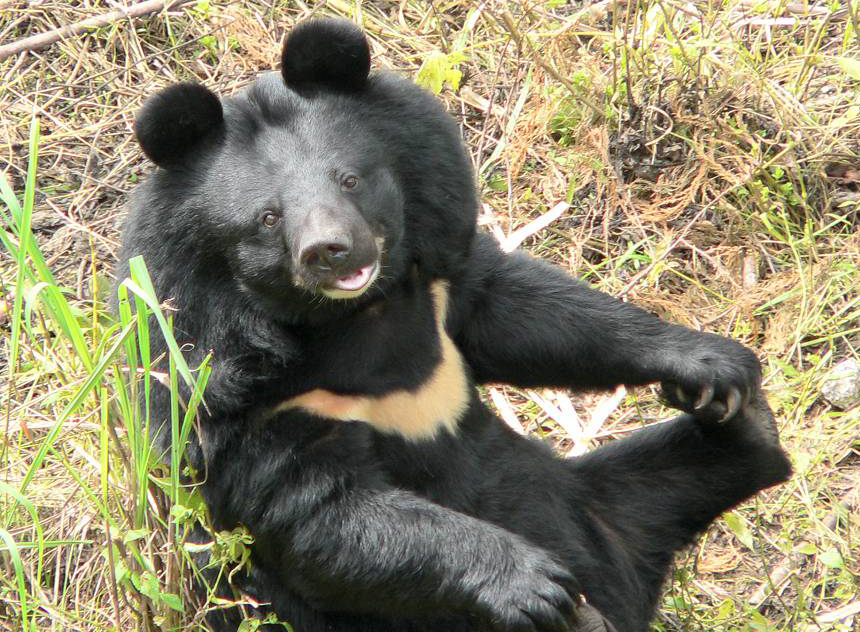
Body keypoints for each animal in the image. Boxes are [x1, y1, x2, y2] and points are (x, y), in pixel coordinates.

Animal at [116, 17, 792, 632]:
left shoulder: (438, 281)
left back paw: (741, 419)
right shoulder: (234, 390)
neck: (356, 317)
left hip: (602, 505)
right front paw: (534, 586)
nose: (330, 251)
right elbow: (325, 514)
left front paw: (709, 363)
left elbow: (524, 313)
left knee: (684, 477)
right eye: (267, 218)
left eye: (350, 179)